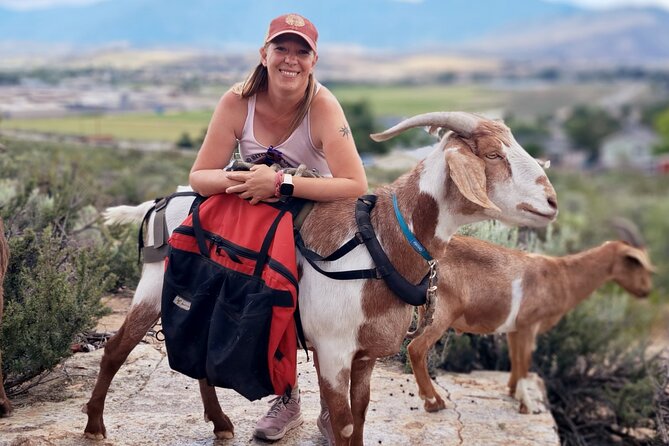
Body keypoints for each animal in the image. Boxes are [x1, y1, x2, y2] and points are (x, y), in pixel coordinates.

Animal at [81, 110, 556, 442]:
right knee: (117, 349)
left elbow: (360, 418)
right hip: (153, 287)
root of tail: (160, 202)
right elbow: (343, 425)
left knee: (199, 357)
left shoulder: (365, 355)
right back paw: (95, 426)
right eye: (493, 154)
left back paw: (220, 423)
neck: (380, 240)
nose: (551, 201)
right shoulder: (332, 350)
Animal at [404, 228, 656, 416]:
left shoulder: (515, 329)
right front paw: (528, 406)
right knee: (416, 349)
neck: (561, 275)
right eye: (639, 264)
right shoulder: (529, 324)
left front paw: (512, 392)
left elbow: (516, 360)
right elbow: (525, 362)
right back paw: (434, 402)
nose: (646, 291)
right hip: (441, 315)